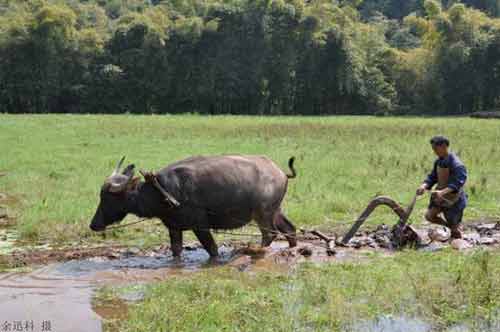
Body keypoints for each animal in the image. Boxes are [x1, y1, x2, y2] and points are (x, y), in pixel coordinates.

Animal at [89, 156, 296, 256]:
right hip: (276, 210)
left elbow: (212, 249)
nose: (93, 224)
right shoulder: (174, 228)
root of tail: (280, 173)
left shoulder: (200, 226)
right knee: (289, 229)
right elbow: (176, 251)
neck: (162, 191)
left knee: (269, 234)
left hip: (263, 213)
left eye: (107, 198)